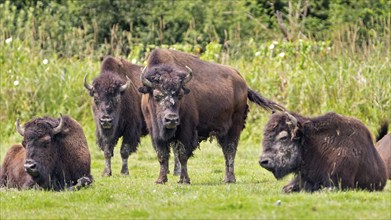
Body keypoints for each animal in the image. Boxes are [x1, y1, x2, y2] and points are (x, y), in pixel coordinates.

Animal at [139, 48, 284, 184]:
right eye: (157, 95)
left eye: (180, 95)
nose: (171, 119)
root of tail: (243, 82)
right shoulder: (155, 134)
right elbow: (162, 156)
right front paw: (160, 180)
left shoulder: (186, 132)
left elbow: (182, 156)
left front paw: (184, 180)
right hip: (223, 132)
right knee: (226, 151)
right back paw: (226, 179)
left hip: (235, 126)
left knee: (230, 151)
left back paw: (230, 179)